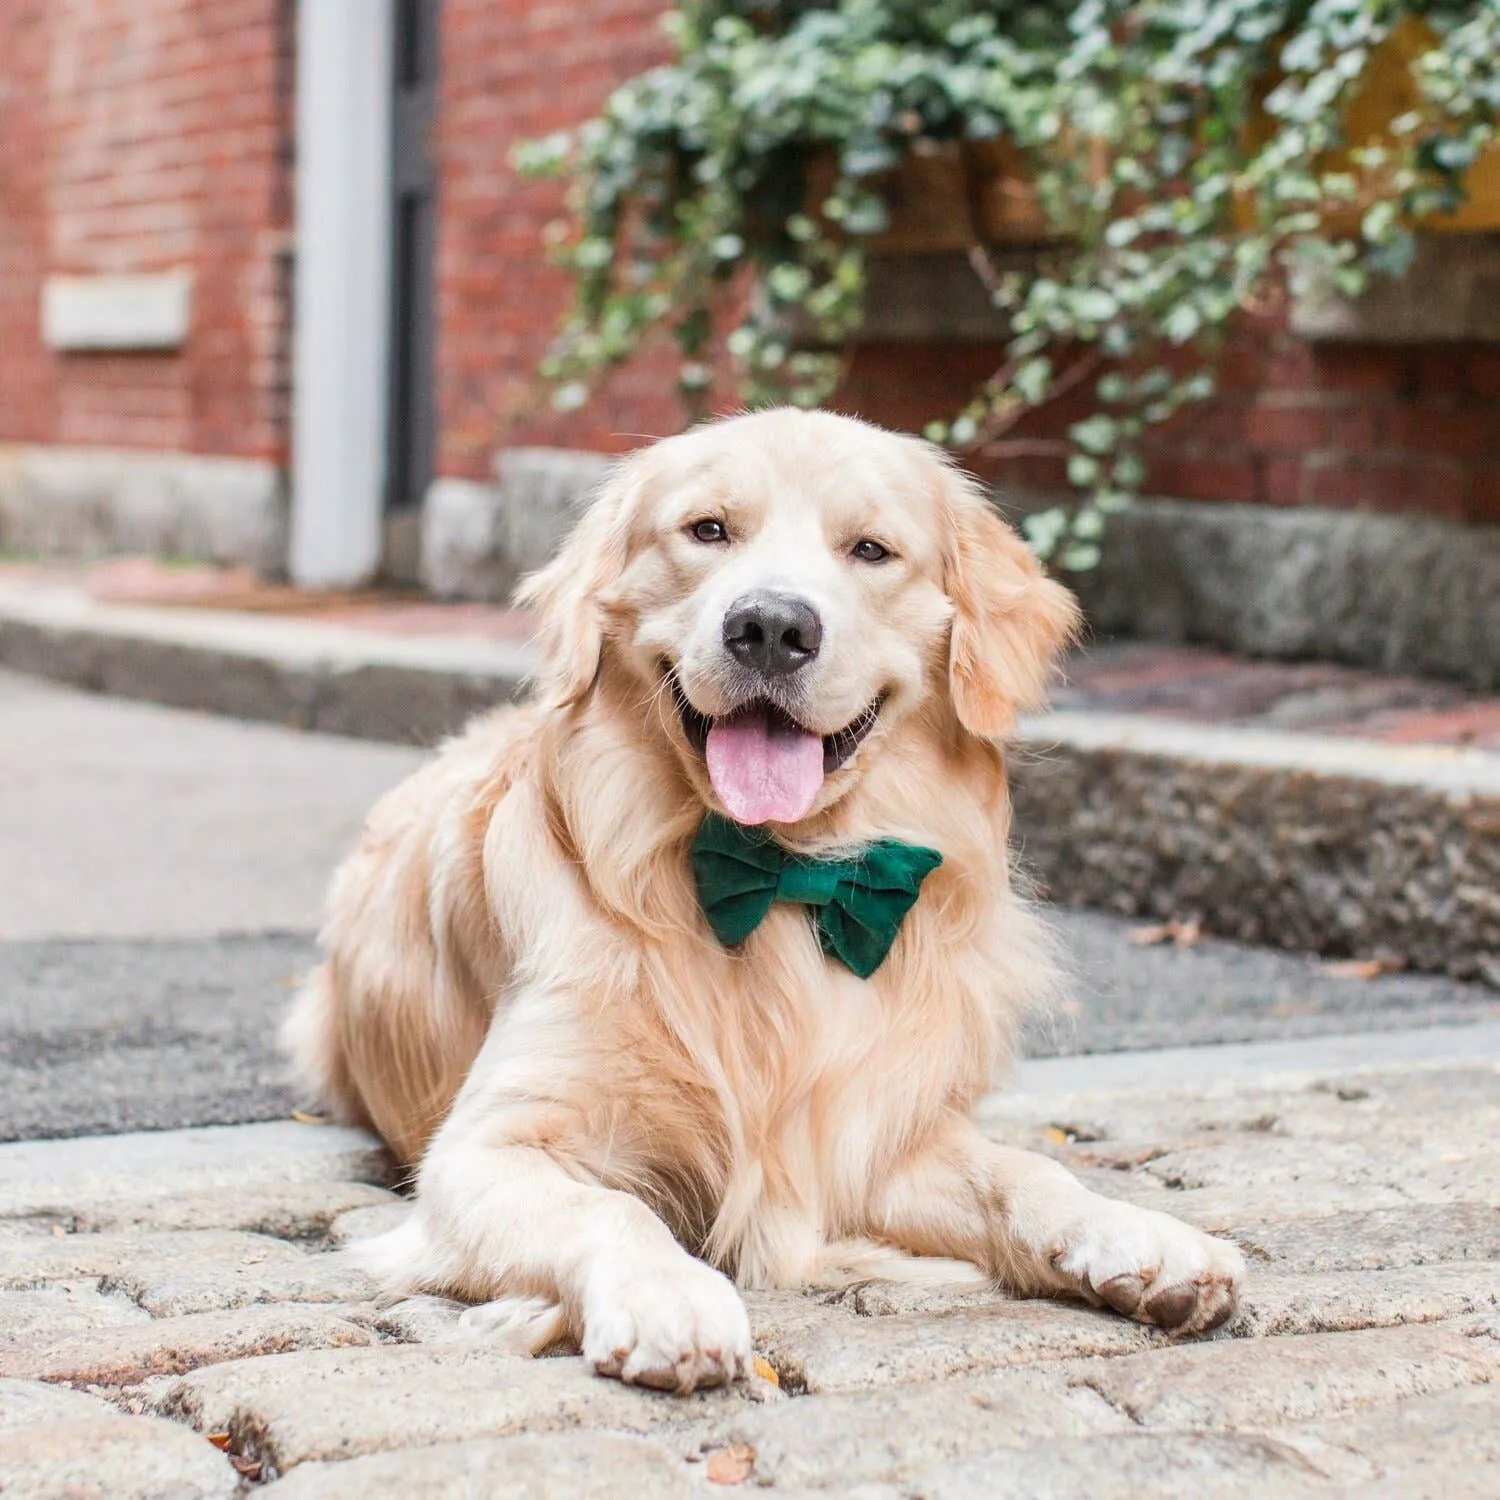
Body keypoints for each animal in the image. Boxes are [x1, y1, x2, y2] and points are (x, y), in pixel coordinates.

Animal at [282, 408, 1242, 1392]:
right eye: (708, 530)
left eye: (871, 549)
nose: (772, 626)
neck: (782, 870)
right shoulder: (484, 1148)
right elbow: (615, 1209)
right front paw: (670, 1296)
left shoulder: (873, 1132)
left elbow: (1025, 1173)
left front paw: (1139, 1235)